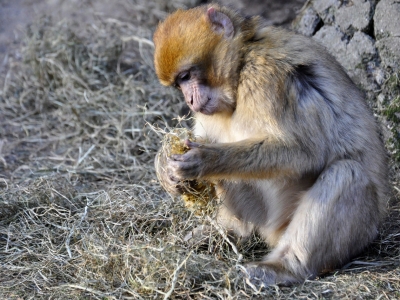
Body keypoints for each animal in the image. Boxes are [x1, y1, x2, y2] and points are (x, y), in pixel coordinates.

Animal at [152, 4, 388, 286]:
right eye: (179, 84)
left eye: (186, 76)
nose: (189, 99)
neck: (242, 63)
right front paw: (166, 168)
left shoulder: (265, 75)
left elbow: (303, 152)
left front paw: (204, 160)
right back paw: (229, 231)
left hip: (358, 229)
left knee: (346, 172)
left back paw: (286, 266)